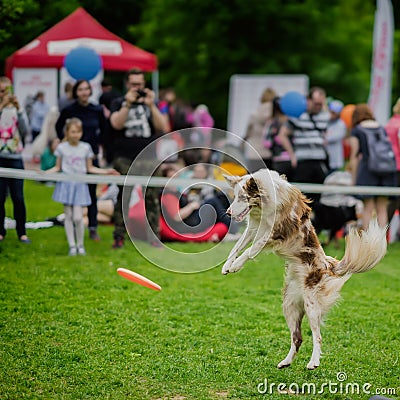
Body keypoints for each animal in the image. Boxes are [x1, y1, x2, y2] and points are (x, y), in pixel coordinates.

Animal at [222, 169, 388, 368]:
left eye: (243, 197)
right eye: (235, 196)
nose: (228, 213)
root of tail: (328, 265)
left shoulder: (275, 233)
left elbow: (250, 250)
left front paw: (236, 266)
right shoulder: (254, 228)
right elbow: (236, 247)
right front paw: (227, 266)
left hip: (311, 306)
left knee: (317, 336)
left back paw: (314, 362)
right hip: (290, 305)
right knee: (297, 337)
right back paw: (285, 362)